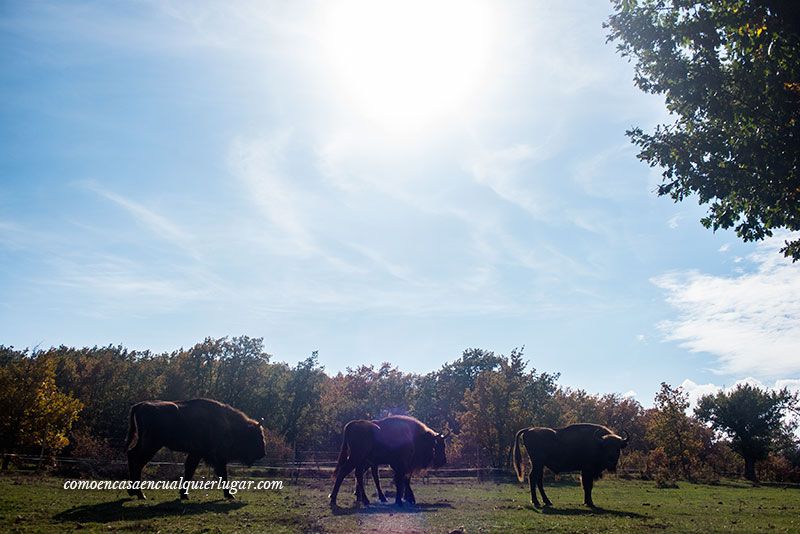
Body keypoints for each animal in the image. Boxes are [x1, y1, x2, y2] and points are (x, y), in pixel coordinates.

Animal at [123, 398, 264, 502]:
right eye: (257, 436)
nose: (263, 453)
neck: (228, 424)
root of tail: (140, 405)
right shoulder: (215, 457)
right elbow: (222, 474)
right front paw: (230, 495)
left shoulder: (196, 454)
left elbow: (189, 471)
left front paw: (184, 495)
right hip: (152, 445)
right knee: (138, 461)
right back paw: (140, 494)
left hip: (145, 443)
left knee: (132, 455)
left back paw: (132, 491)